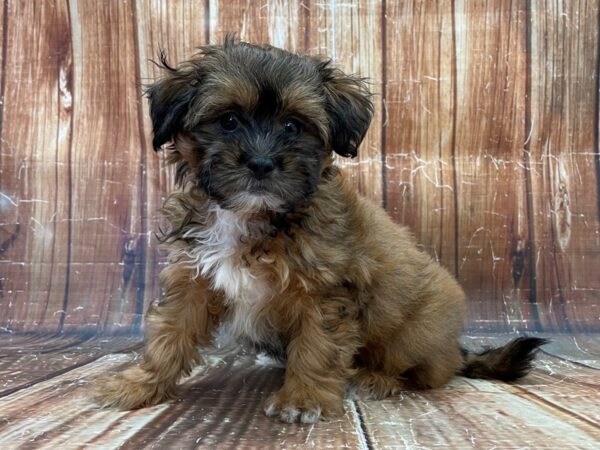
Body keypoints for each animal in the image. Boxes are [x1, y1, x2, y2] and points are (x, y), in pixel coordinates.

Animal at [95, 37, 548, 424]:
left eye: (293, 127)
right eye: (228, 121)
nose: (261, 163)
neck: (255, 216)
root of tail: (455, 345)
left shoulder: (325, 293)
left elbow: (317, 348)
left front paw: (303, 399)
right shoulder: (193, 280)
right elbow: (170, 334)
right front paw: (138, 384)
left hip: (416, 333)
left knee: (425, 373)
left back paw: (377, 379)